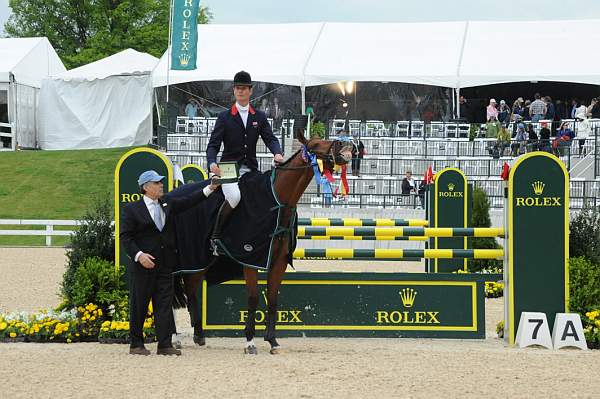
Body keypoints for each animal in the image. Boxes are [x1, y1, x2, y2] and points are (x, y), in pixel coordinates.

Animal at [180, 126, 354, 354]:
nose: (347, 148)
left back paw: (199, 335)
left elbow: (272, 298)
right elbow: (253, 298)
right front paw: (250, 341)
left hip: (202, 261)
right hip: (193, 257)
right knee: (190, 288)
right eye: (315, 145)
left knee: (192, 289)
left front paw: (272, 341)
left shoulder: (279, 262)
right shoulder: (250, 259)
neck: (276, 201)